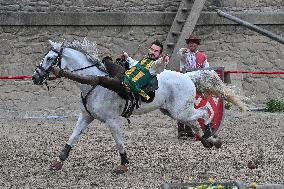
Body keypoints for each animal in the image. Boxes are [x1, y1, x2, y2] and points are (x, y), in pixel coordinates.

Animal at [32, 39, 242, 173]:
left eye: (50, 58)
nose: (35, 77)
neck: (92, 84)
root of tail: (188, 76)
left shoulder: (111, 120)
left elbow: (119, 142)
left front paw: (123, 164)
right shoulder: (86, 116)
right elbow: (73, 137)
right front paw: (58, 161)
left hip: (181, 111)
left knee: (205, 113)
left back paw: (210, 137)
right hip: (175, 112)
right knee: (194, 121)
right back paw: (208, 139)